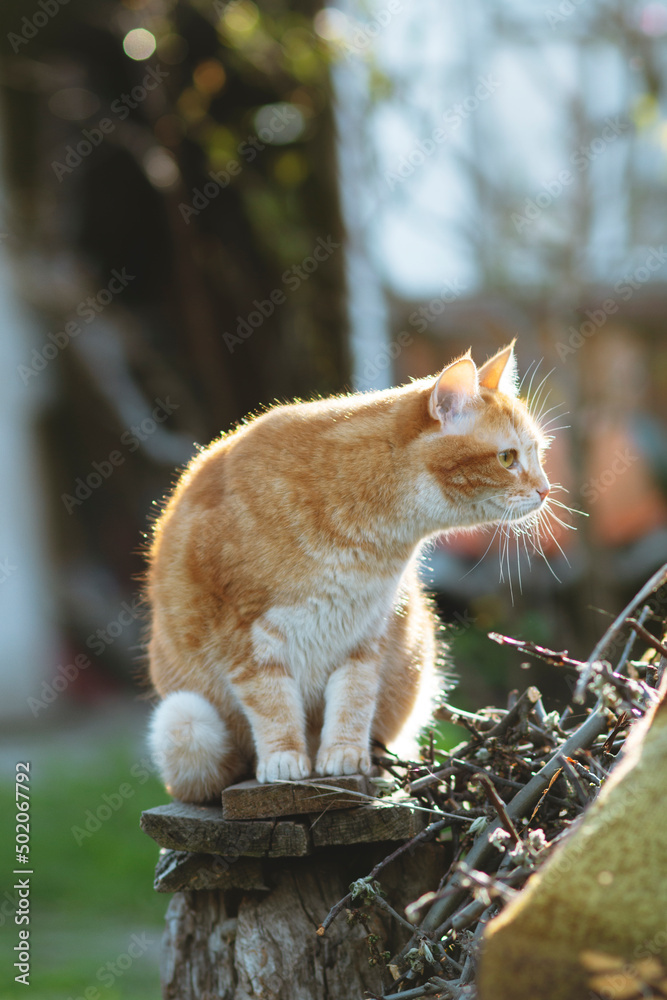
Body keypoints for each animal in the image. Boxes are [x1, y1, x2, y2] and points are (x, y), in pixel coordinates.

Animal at [149, 344, 552, 804]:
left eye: (536, 453)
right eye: (507, 458)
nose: (546, 490)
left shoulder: (363, 635)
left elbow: (353, 699)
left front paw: (343, 754)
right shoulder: (243, 637)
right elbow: (272, 704)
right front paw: (284, 759)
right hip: (187, 717)